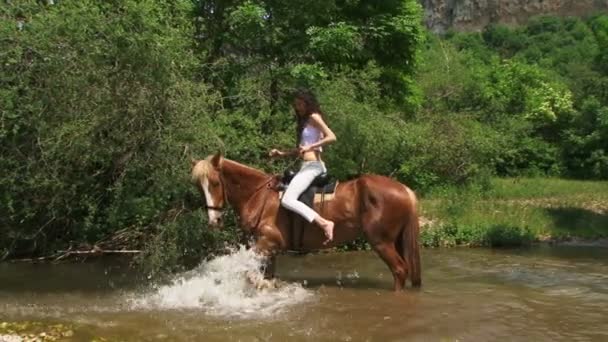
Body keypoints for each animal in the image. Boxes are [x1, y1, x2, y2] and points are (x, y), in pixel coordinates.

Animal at [192, 154, 420, 290]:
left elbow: (250, 276)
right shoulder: (269, 249)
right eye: (198, 186)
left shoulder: (267, 243)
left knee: (400, 270)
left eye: (214, 183)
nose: (214, 220)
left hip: (381, 242)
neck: (258, 195)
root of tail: (404, 190)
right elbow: (266, 277)